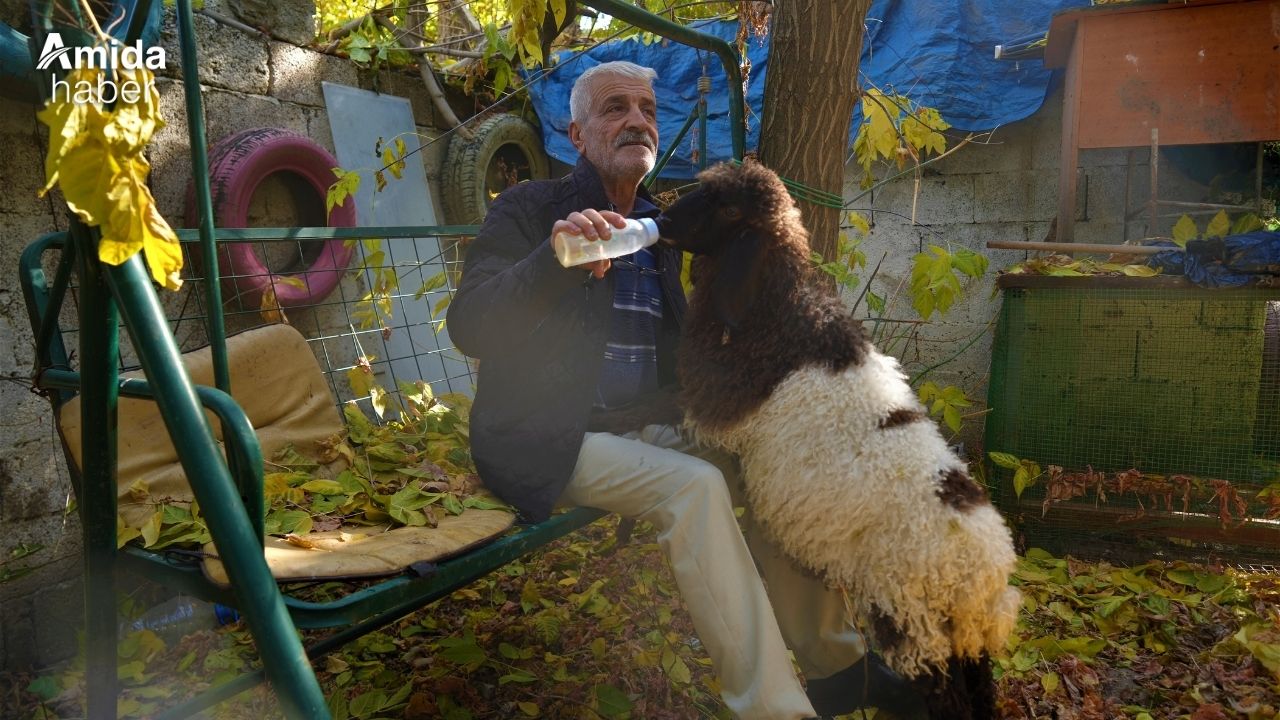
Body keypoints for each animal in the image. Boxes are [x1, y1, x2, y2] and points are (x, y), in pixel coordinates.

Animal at [655, 159, 1024, 712]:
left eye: (729, 209)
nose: (664, 218)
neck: (778, 308)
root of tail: (983, 577)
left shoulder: (713, 404)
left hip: (912, 621)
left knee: (950, 699)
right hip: (964, 641)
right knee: (980, 693)